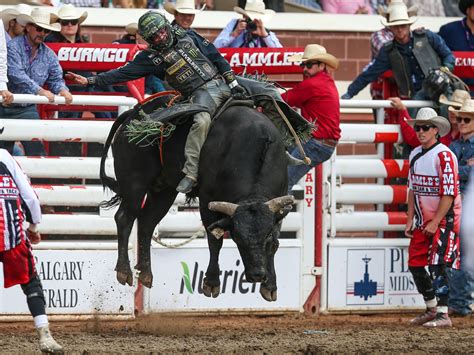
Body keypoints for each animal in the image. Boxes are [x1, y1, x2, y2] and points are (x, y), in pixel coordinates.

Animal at [99, 94, 292, 300]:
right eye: (237, 237)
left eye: (267, 235)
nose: (257, 275)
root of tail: (131, 114)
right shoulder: (207, 198)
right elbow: (215, 240)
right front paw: (211, 283)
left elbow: (275, 243)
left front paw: (270, 286)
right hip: (134, 182)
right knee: (125, 218)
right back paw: (124, 271)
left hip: (165, 191)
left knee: (146, 223)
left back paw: (145, 273)